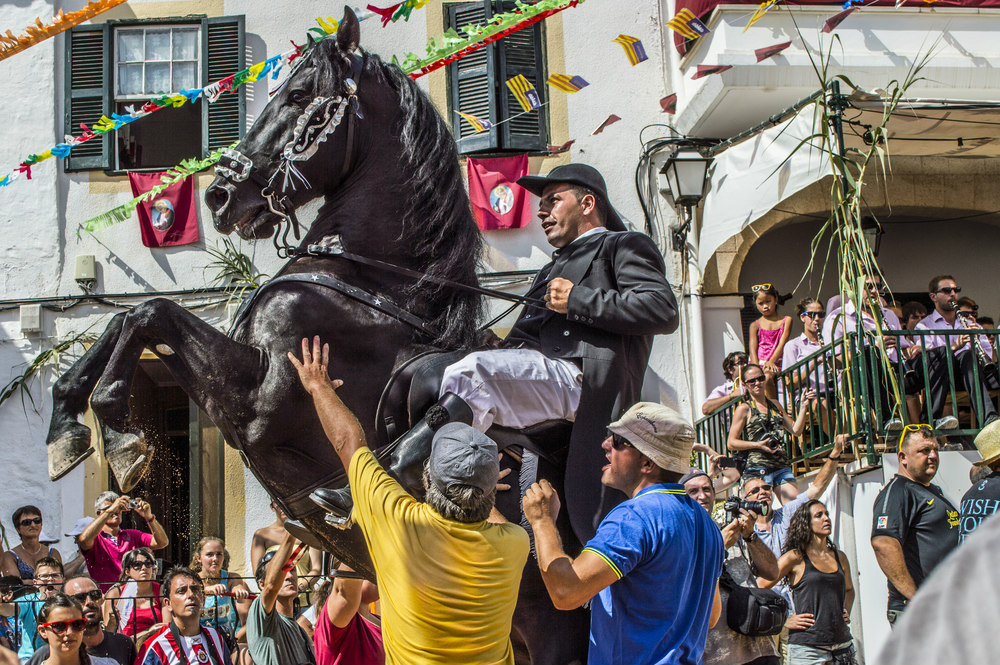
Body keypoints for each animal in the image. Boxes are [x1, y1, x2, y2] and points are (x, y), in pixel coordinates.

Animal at [47, 10, 588, 664]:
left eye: (300, 95)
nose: (220, 195)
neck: (369, 283)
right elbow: (132, 320)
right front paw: (69, 424)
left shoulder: (258, 403)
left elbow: (150, 314)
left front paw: (117, 430)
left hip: (555, 632)